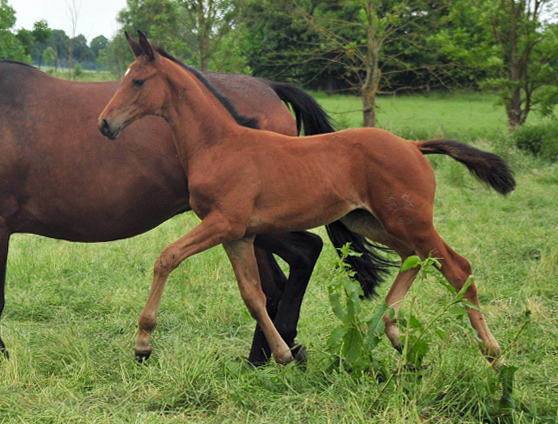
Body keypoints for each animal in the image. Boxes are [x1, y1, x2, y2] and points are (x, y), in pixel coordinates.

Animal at [0, 58, 394, 364]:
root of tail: (268, 87)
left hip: (247, 223)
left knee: (299, 257)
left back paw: (275, 350)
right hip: (244, 228)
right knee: (278, 279)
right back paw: (269, 355)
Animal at [98, 32, 520, 364]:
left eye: (138, 81)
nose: (104, 124)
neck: (219, 144)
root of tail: (414, 146)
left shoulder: (223, 223)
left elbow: (166, 258)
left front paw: (143, 343)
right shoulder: (239, 235)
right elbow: (253, 295)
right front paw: (283, 354)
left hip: (410, 220)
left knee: (458, 268)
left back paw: (493, 354)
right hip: (371, 221)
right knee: (413, 257)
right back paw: (394, 332)